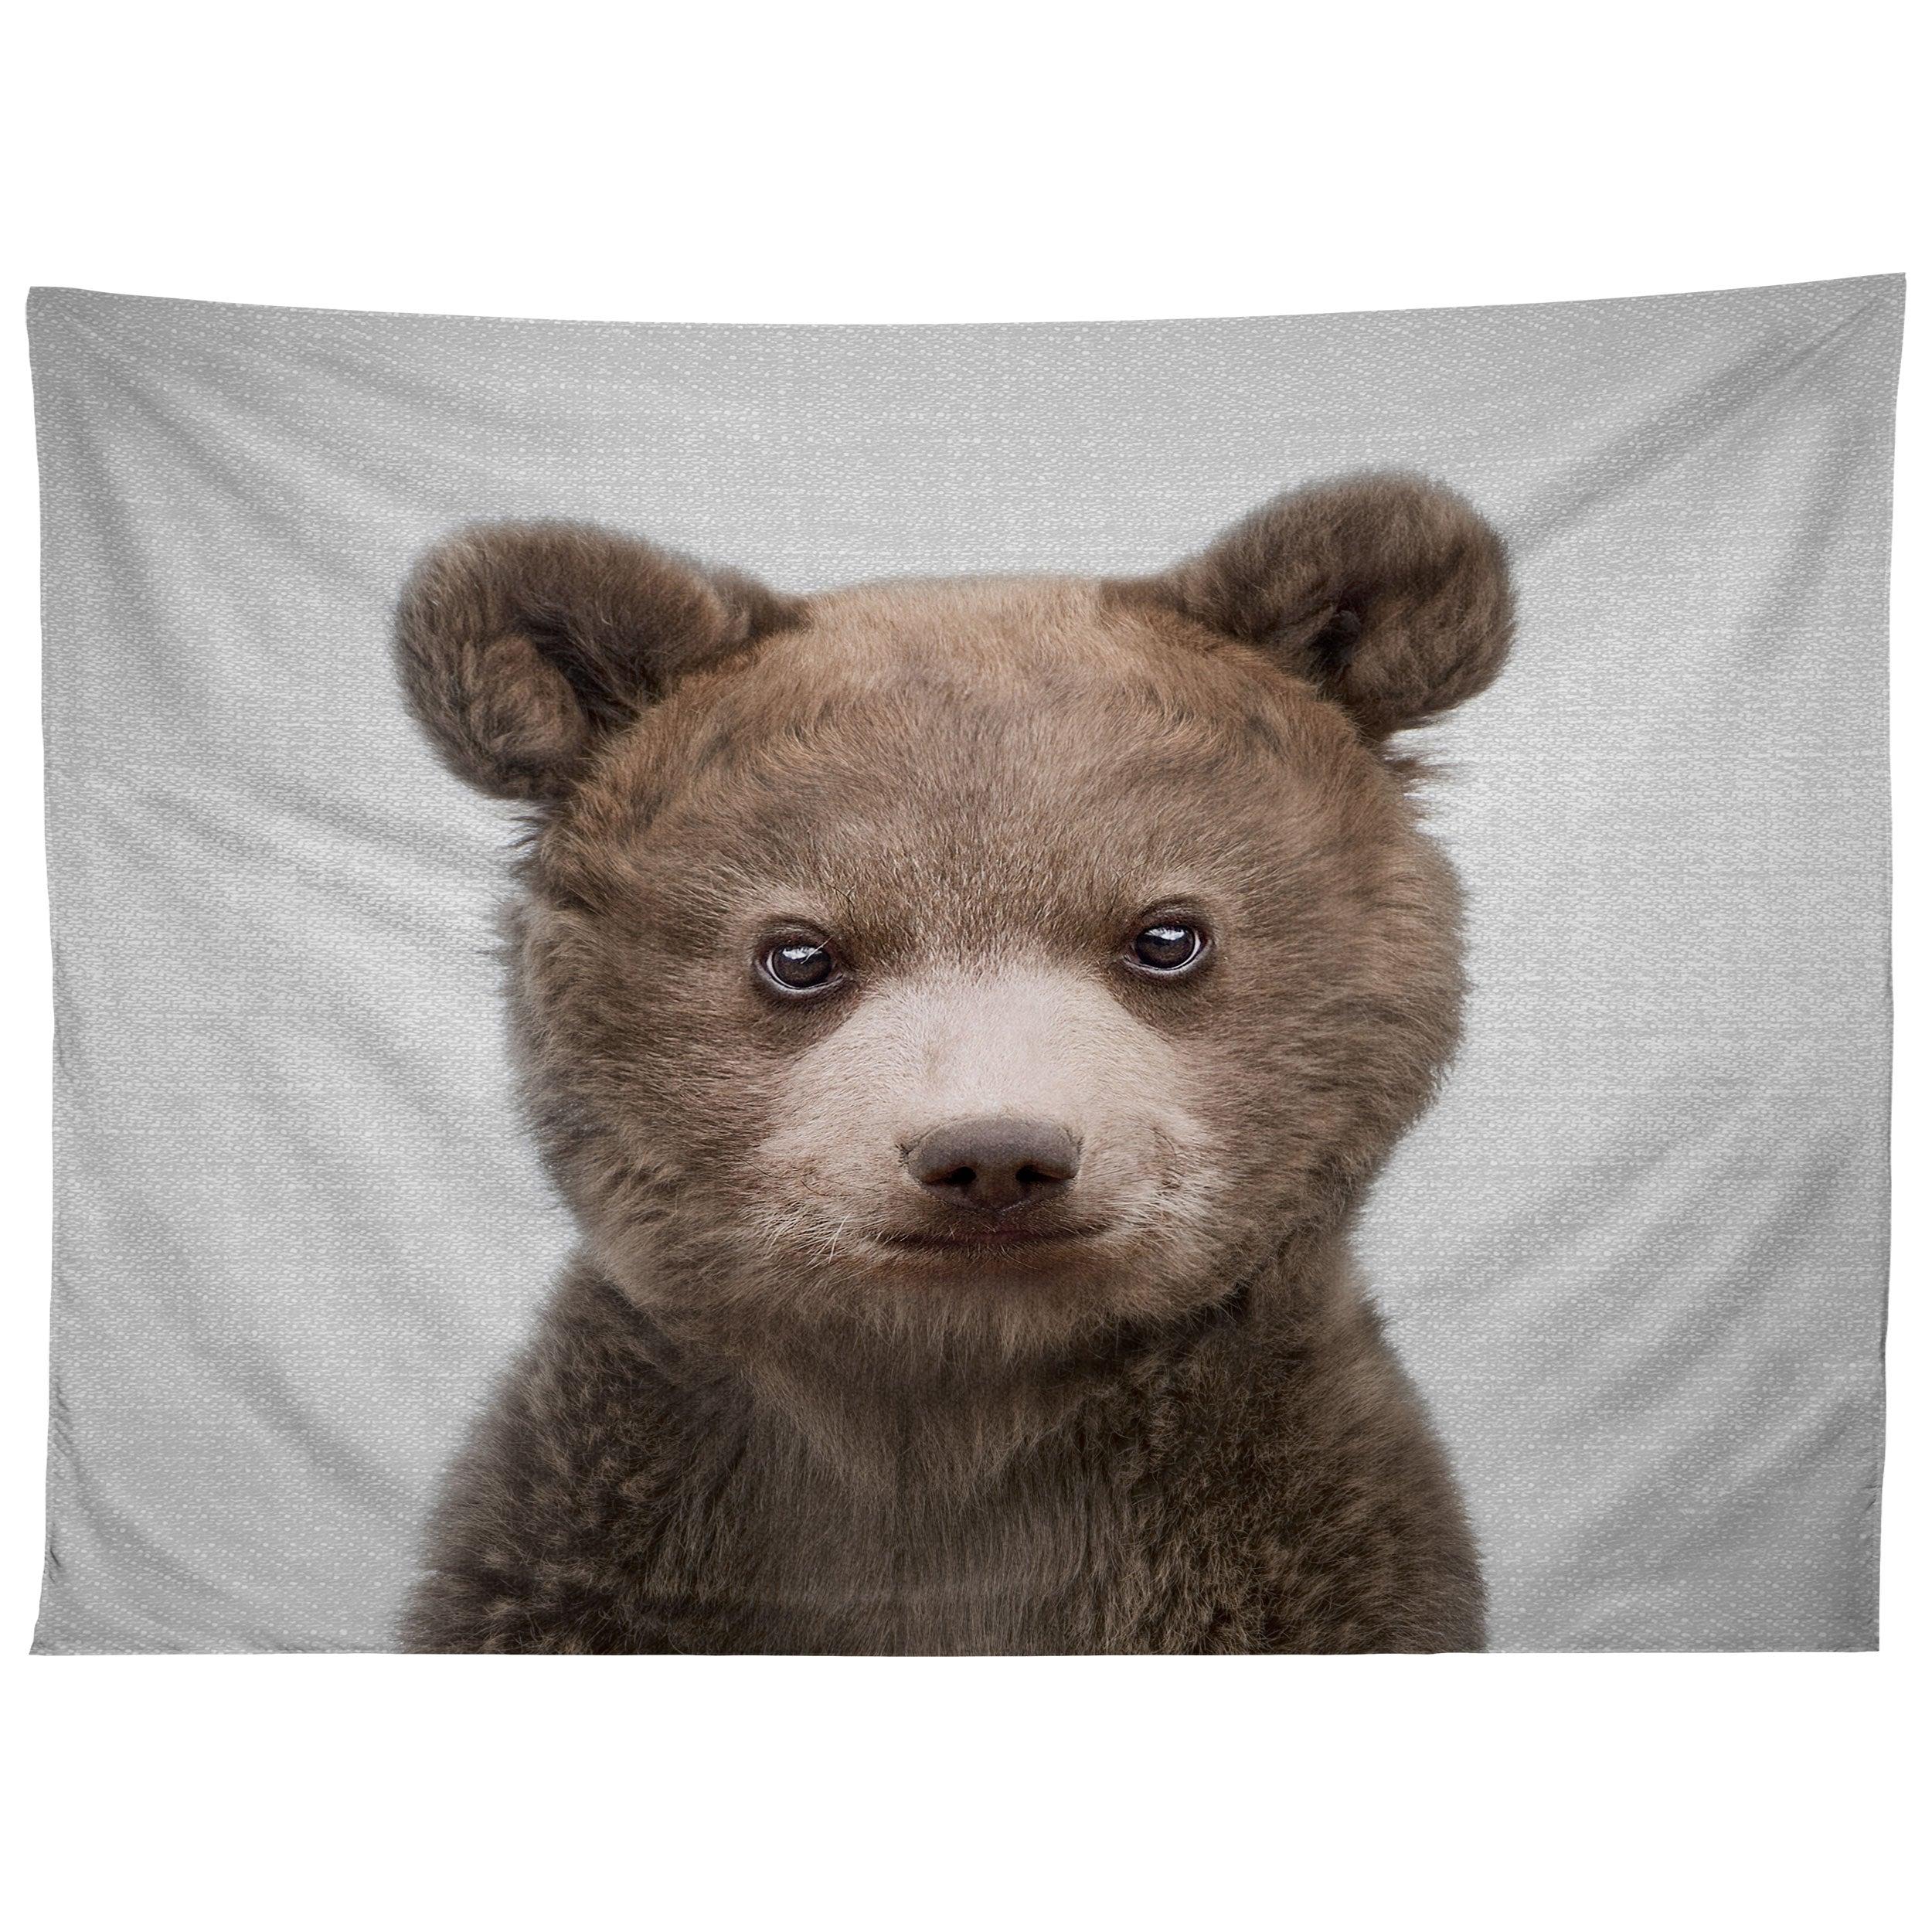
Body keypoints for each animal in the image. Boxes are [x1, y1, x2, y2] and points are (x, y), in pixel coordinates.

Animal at [393, 471, 1512, 1654]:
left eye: (1167, 935)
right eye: (799, 953)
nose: (995, 1154)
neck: (954, 1402)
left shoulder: (1296, 1541)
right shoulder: (606, 1535)